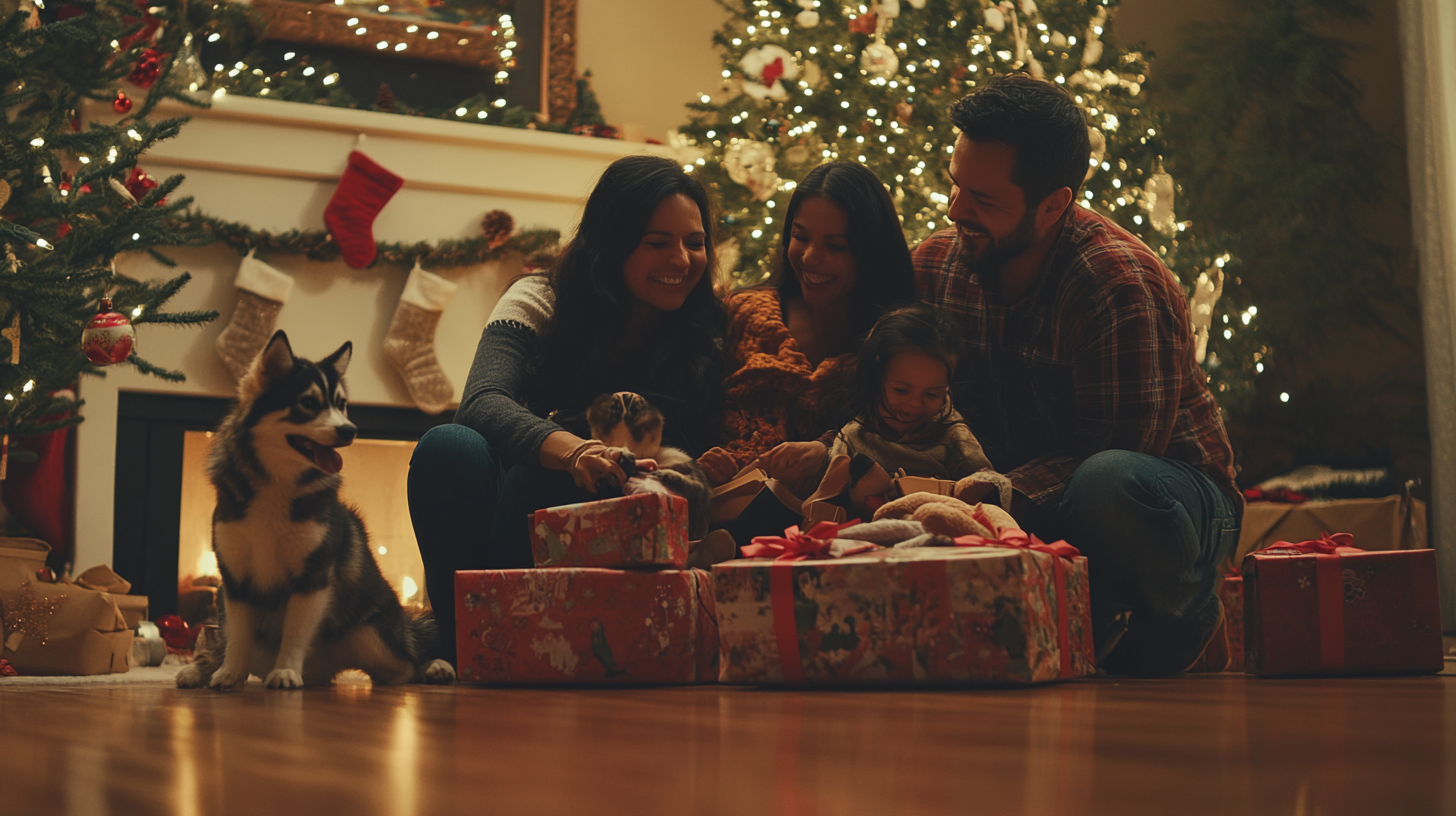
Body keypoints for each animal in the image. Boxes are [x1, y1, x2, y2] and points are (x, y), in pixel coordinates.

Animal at [175, 329, 451, 687]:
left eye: (342, 404)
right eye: (308, 403)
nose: (350, 431)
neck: (277, 484)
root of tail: (327, 670)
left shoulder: (314, 578)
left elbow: (294, 633)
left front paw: (285, 670)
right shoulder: (234, 580)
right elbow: (237, 637)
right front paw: (229, 673)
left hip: (371, 635)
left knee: (407, 667)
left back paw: (436, 666)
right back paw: (200, 669)